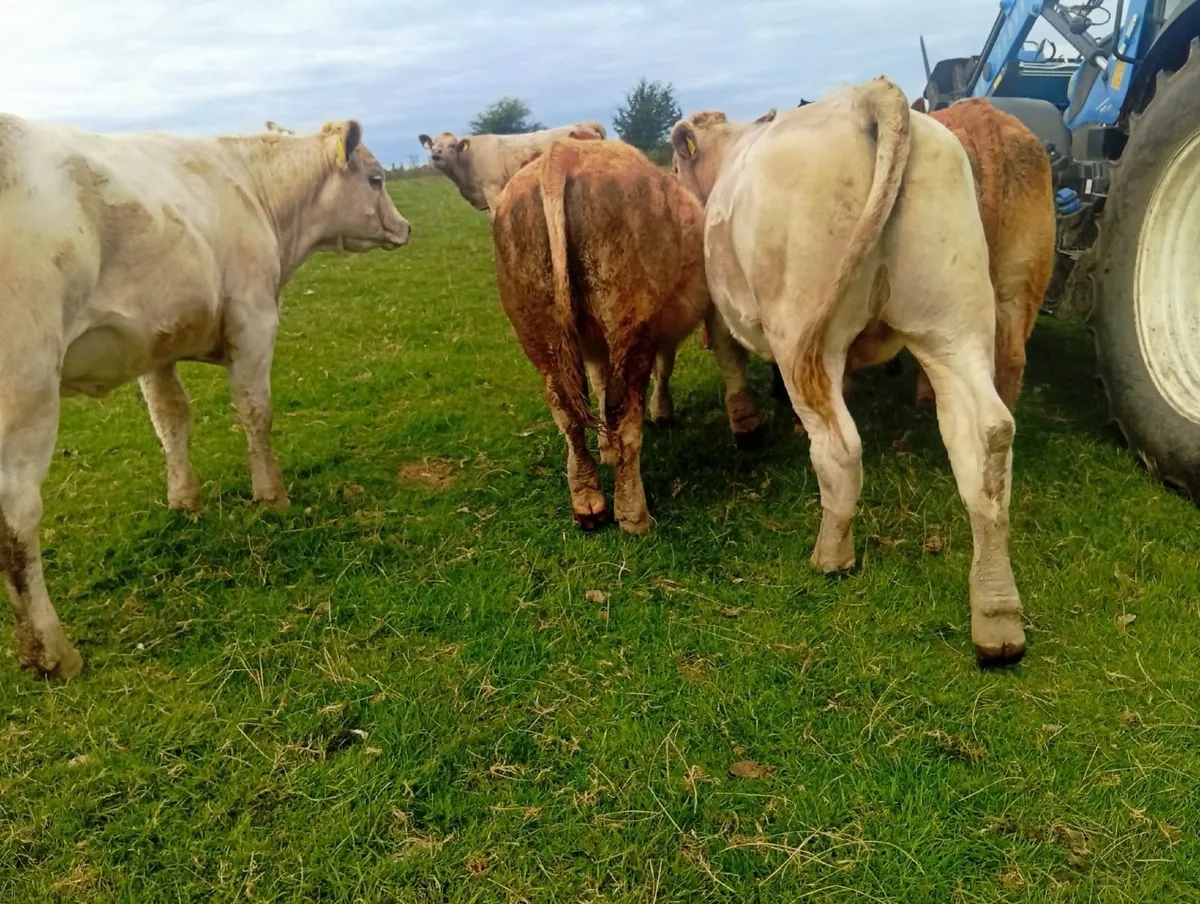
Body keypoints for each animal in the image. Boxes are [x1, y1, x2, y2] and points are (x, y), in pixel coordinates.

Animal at [0, 116, 410, 677]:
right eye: (376, 179)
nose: (406, 227)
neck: (254, 191)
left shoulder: (153, 342)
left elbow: (171, 418)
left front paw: (184, 501)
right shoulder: (255, 318)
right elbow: (255, 411)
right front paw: (272, 496)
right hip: (28, 386)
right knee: (17, 519)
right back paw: (53, 652)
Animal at [491, 137, 741, 533]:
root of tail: (563, 153)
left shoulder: (593, 342)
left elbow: (597, 381)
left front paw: (606, 446)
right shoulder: (666, 323)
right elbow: (671, 365)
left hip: (540, 330)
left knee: (567, 411)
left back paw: (588, 501)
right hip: (630, 324)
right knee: (622, 411)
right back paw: (633, 515)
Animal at [671, 77, 1026, 666]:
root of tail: (868, 95)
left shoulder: (723, 313)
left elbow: (730, 360)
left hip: (804, 331)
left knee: (838, 445)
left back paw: (831, 555)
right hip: (953, 324)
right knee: (988, 438)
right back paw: (997, 617)